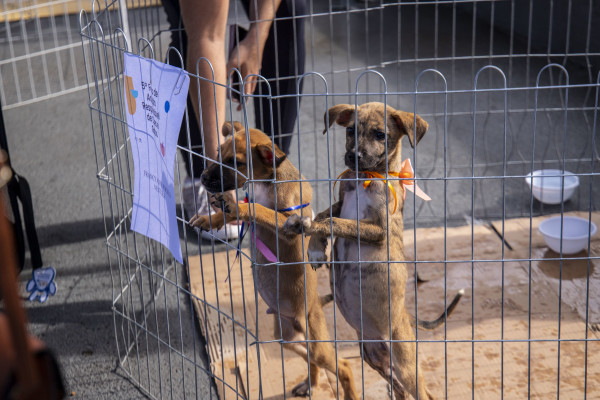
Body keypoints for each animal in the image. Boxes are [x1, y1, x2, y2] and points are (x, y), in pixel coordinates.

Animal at [190, 122, 358, 400]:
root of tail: (314, 305)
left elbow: (259, 210)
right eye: (218, 152)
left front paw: (237, 207)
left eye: (236, 163)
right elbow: (239, 212)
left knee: (342, 365)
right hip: (286, 337)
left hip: (316, 339)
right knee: (310, 357)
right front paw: (209, 219)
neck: (266, 182)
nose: (202, 178)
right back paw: (310, 384)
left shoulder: (290, 226)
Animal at [284, 104, 464, 400]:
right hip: (374, 358)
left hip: (405, 364)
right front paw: (316, 249)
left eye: (380, 134)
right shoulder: (341, 202)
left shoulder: (379, 228)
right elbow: (326, 213)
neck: (365, 178)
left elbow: (334, 221)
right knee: (400, 392)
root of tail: (407, 317)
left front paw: (309, 230)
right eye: (350, 130)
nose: (352, 157)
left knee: (424, 394)